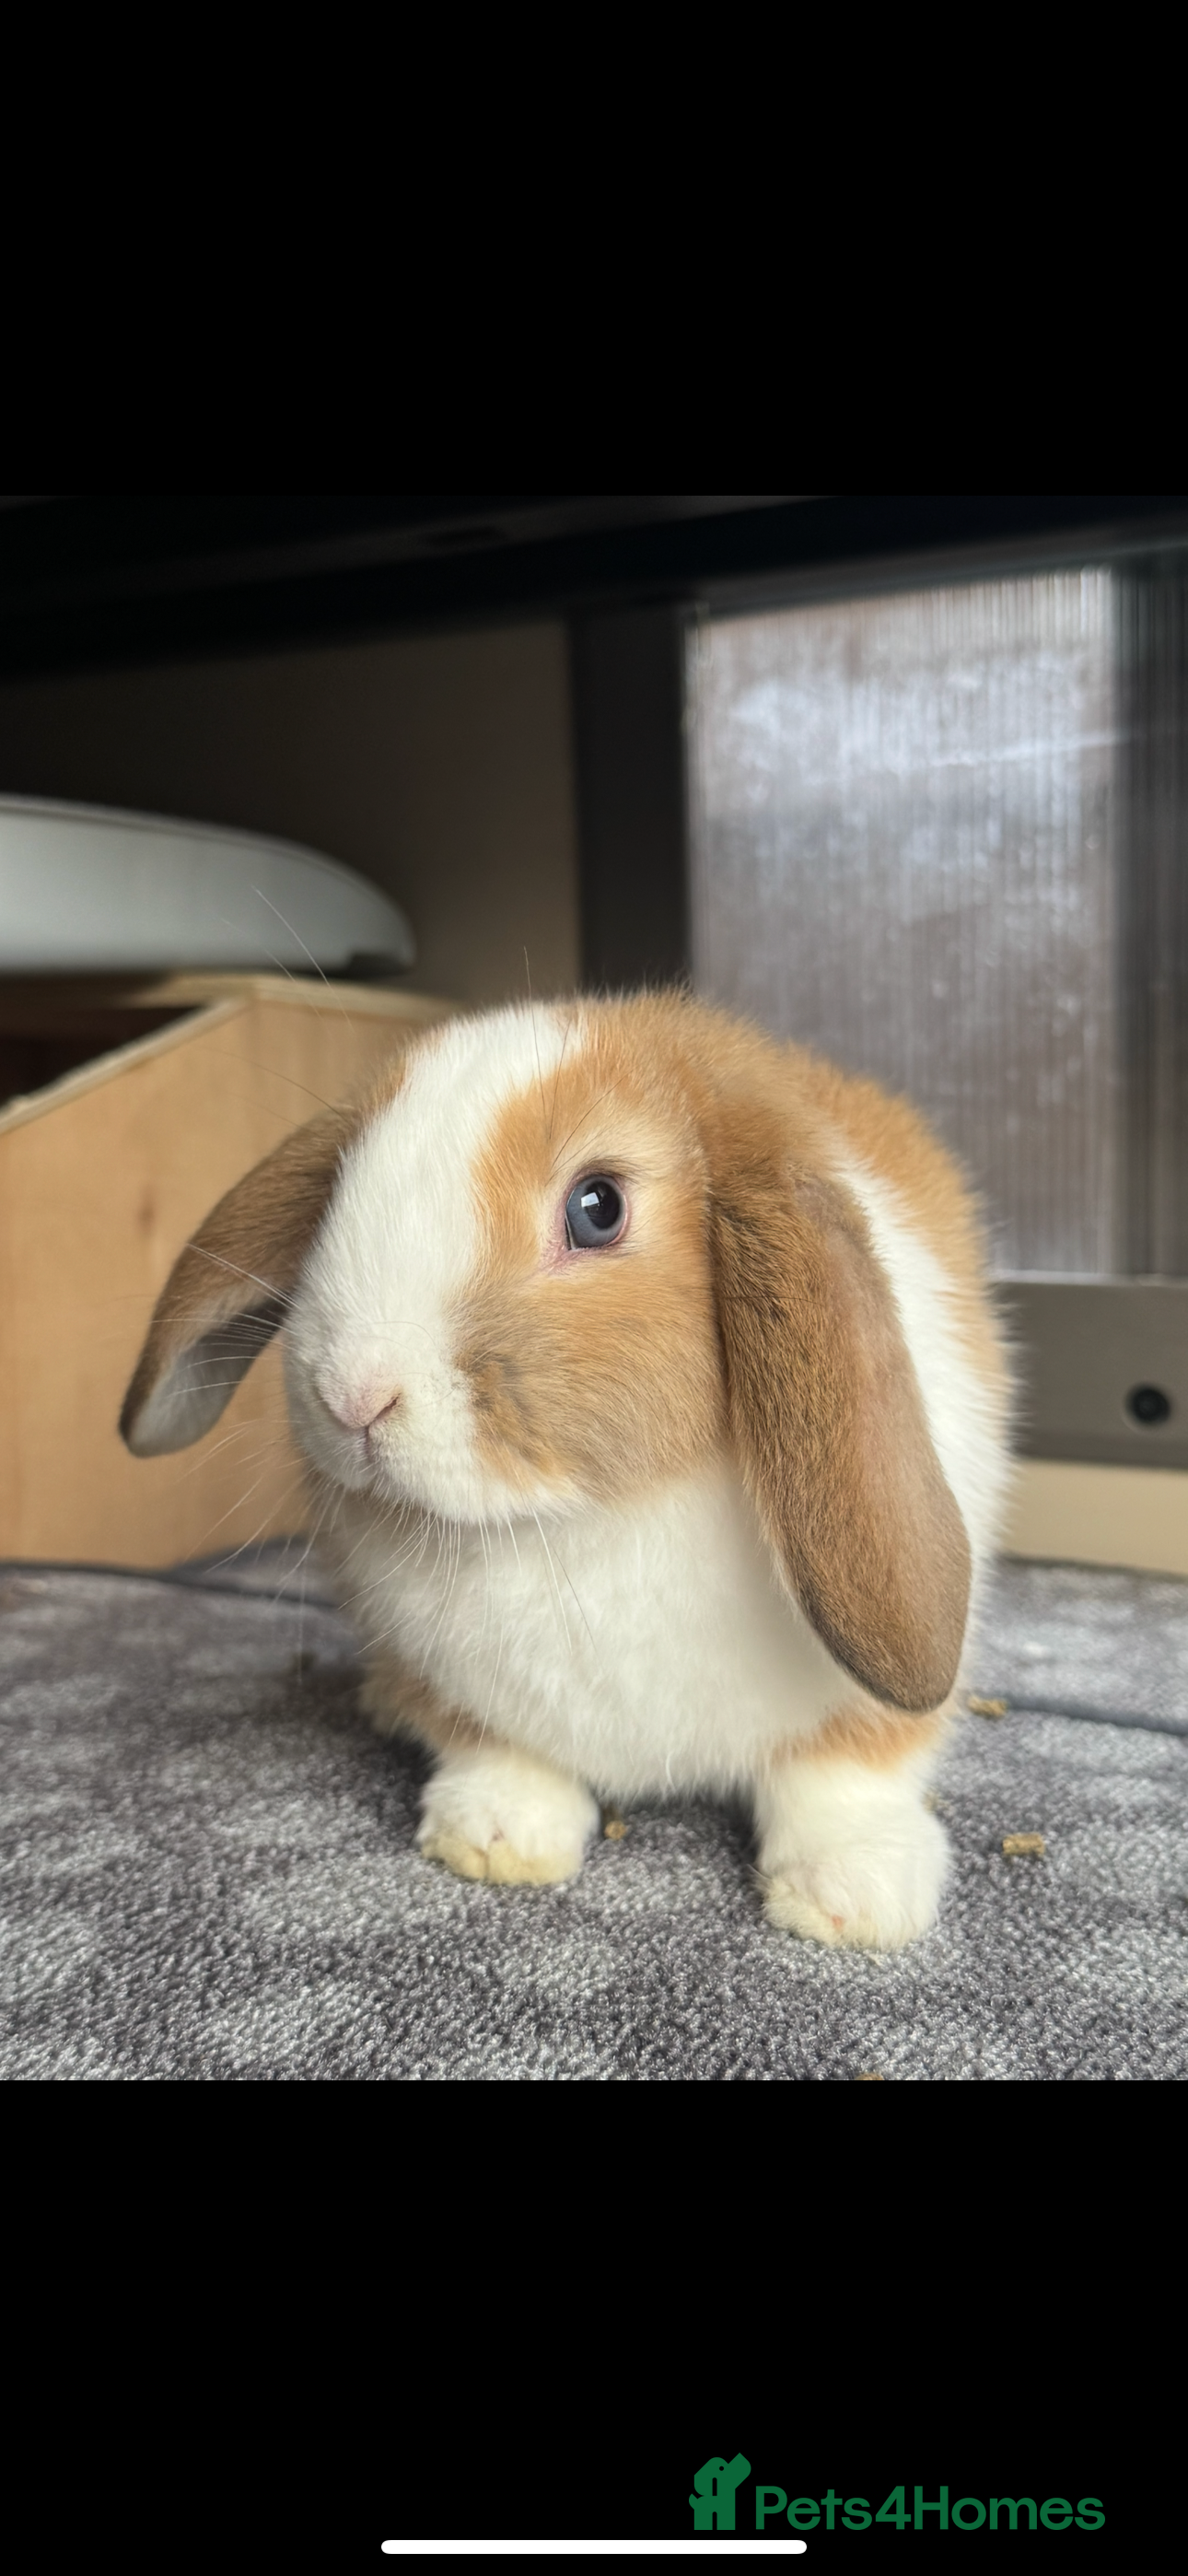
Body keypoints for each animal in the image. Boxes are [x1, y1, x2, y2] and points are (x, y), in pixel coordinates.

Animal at [120, 991, 1014, 1950]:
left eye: (597, 1208)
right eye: (338, 1192)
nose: (352, 1395)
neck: (575, 1524)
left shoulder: (864, 1705)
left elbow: (842, 1776)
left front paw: (855, 1898)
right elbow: (499, 1751)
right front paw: (494, 1838)